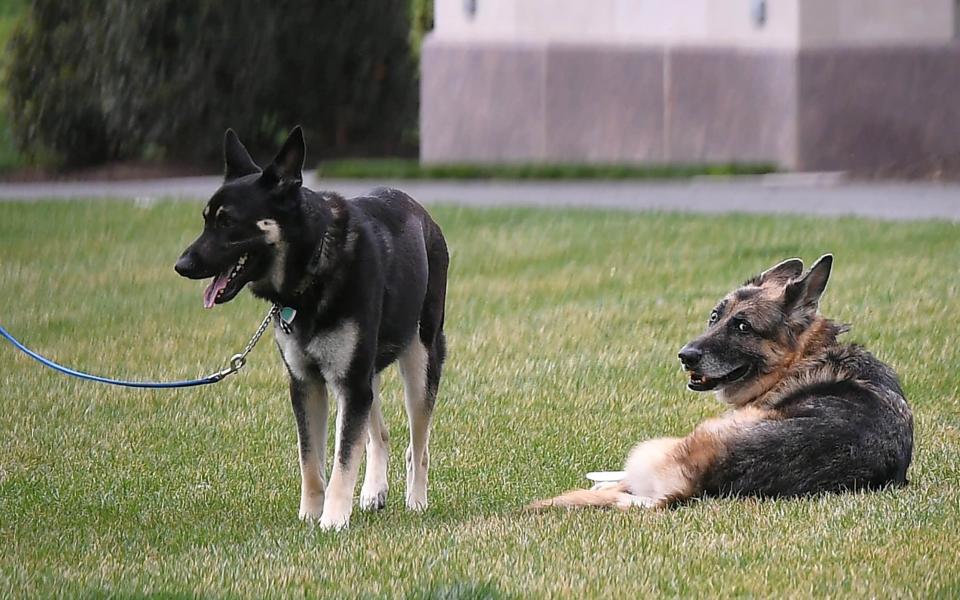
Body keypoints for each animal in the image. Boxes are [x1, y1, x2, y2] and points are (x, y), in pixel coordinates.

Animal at [175, 127, 446, 528]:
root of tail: (421, 212)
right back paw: (374, 491)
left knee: (418, 445)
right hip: (366, 374)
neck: (315, 263)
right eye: (206, 219)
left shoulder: (349, 384)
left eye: (227, 222)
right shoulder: (308, 384)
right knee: (380, 434)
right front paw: (309, 516)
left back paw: (417, 500)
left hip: (419, 361)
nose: (181, 265)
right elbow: (311, 460)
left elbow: (343, 459)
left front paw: (333, 520)